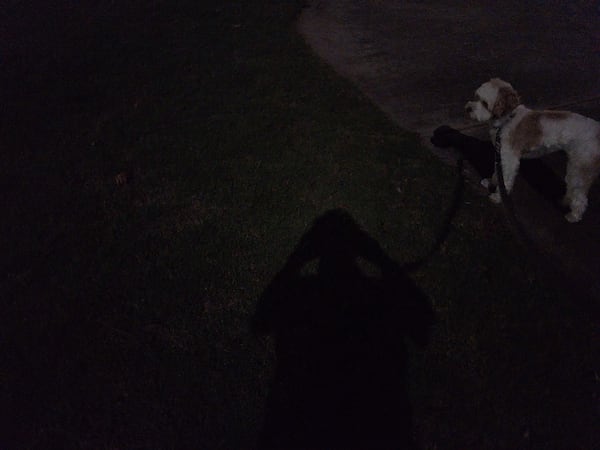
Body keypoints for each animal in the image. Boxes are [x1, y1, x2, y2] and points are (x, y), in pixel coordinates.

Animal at [468, 79, 600, 223]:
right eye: (476, 97)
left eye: (485, 103)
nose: (468, 108)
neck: (507, 120)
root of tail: (596, 130)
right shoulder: (500, 155)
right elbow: (497, 173)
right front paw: (490, 183)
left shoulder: (509, 159)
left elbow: (506, 179)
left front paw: (498, 197)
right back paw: (564, 202)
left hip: (580, 168)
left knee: (580, 197)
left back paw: (574, 216)